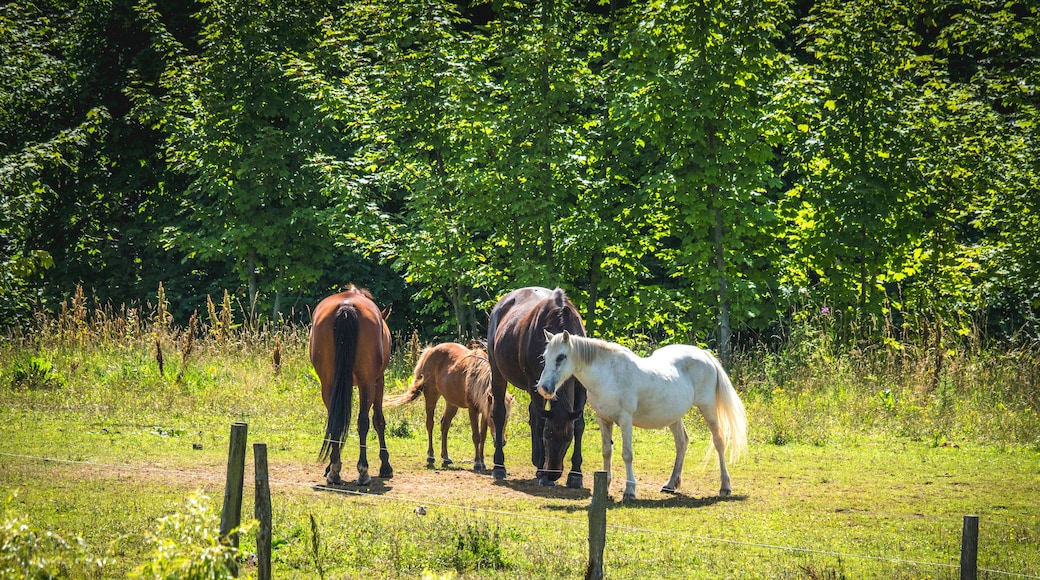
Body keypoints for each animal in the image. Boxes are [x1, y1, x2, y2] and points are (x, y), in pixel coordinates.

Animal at [309, 285, 394, 486]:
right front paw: (385, 465)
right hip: (367, 384)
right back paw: (363, 471)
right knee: (363, 422)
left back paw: (334, 470)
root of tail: (346, 307)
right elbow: (379, 421)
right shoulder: (379, 381)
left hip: (328, 384)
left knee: (335, 420)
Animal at [384, 342, 515, 471]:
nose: (501, 442)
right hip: (431, 396)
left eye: (507, 417)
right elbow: (476, 436)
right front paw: (477, 463)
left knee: (444, 425)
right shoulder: (473, 410)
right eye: (493, 416)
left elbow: (483, 436)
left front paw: (482, 462)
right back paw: (431, 456)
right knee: (430, 424)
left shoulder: (484, 411)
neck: (477, 378)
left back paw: (446, 457)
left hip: (451, 404)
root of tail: (430, 351)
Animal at [488, 287, 587, 488]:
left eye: (568, 439)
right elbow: (540, 423)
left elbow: (579, 424)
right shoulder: (535, 382)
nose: (553, 474)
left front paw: (575, 474)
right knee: (500, 413)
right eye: (547, 437)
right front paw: (541, 472)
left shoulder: (580, 386)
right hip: (498, 373)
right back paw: (499, 466)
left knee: (533, 412)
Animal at [535, 331, 748, 500]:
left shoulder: (625, 420)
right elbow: (607, 452)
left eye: (561, 357)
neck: (607, 375)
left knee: (719, 441)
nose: (544, 388)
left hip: (708, 408)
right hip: (674, 416)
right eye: (545, 357)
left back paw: (725, 487)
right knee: (682, 442)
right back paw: (670, 485)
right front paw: (605, 490)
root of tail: (704, 355)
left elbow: (627, 454)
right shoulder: (603, 420)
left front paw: (630, 491)